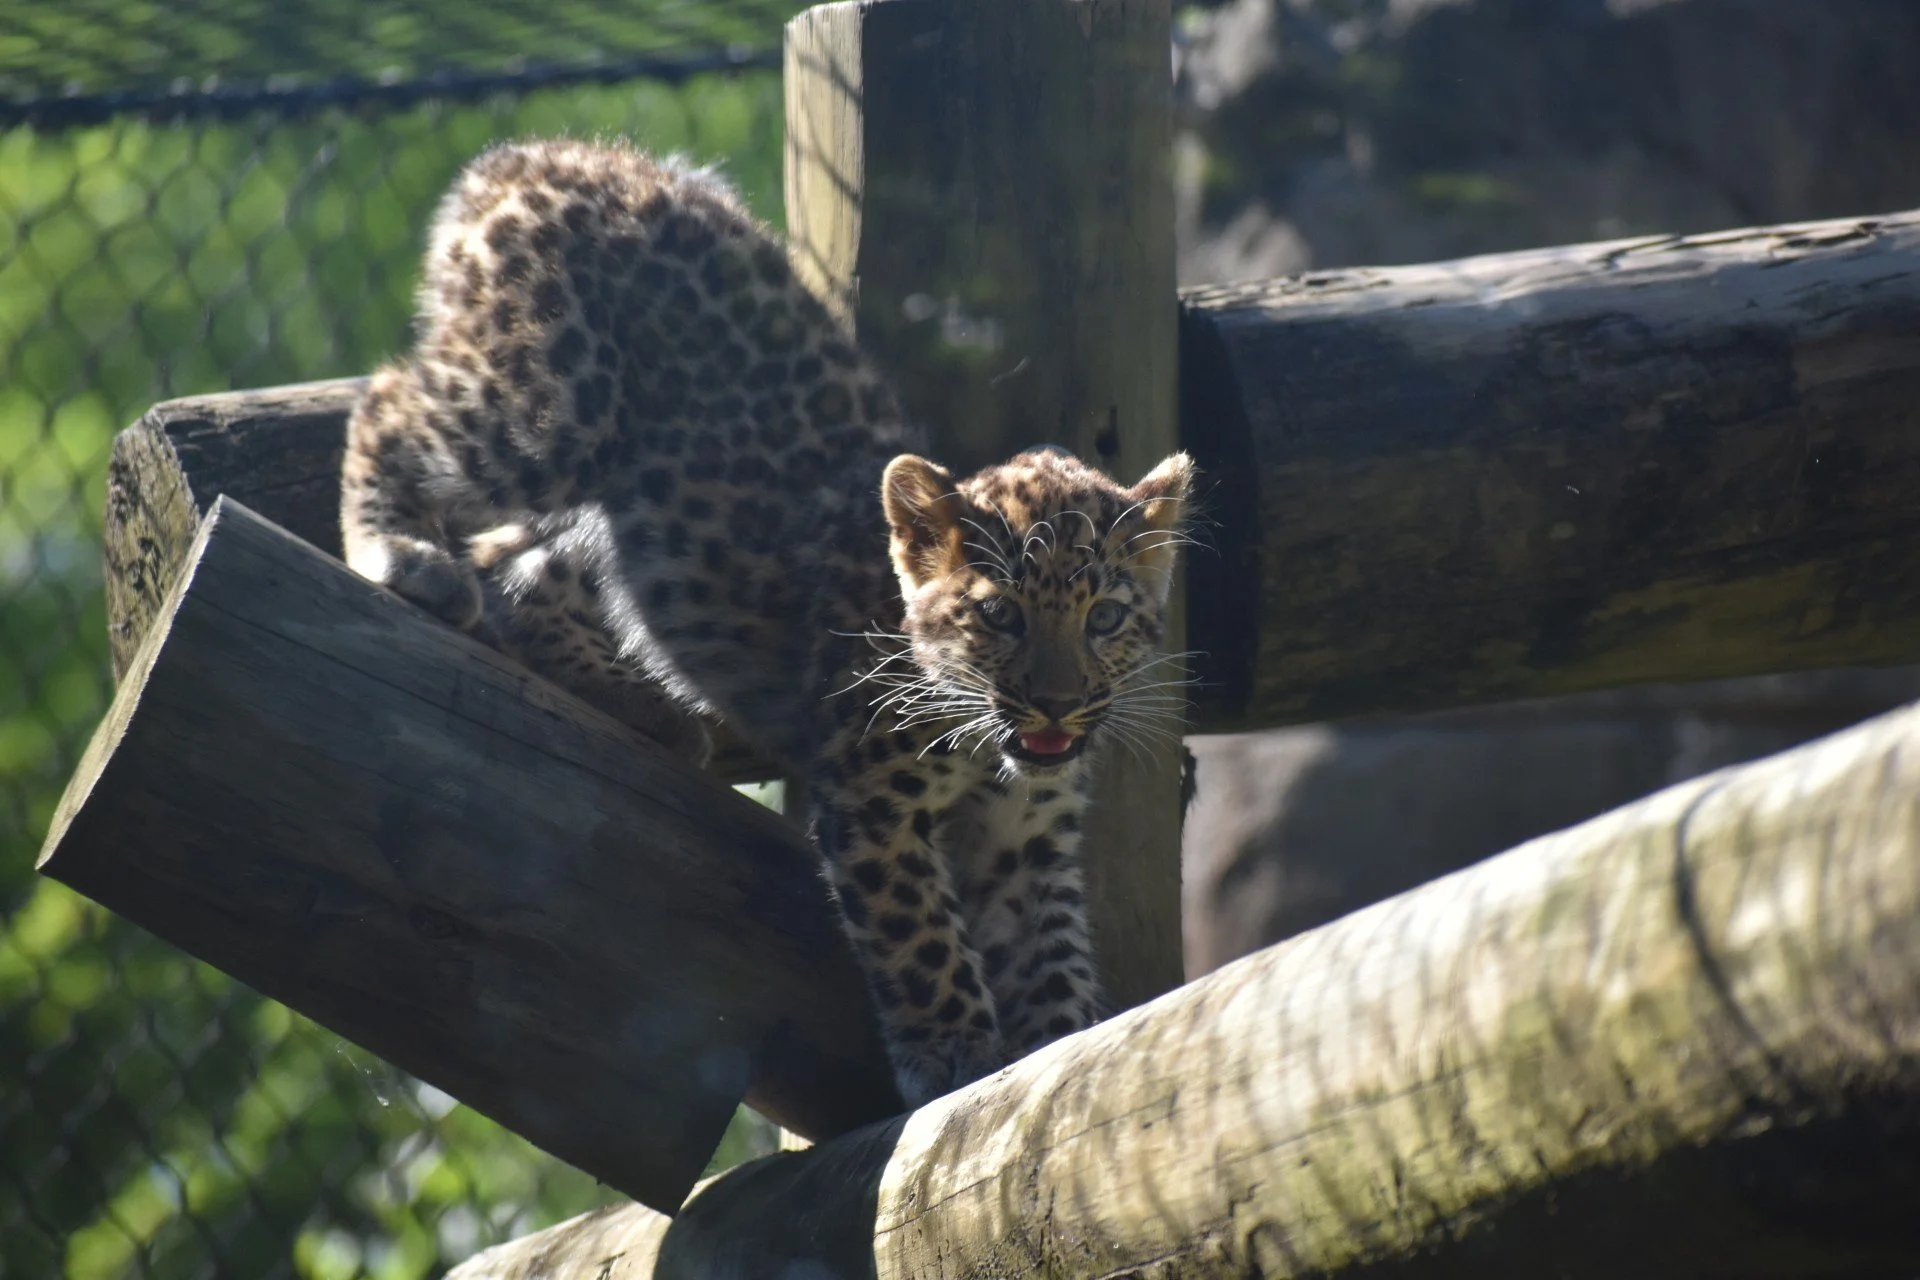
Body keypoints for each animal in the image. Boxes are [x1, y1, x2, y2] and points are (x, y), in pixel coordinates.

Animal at [341, 138, 1194, 1108]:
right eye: (999, 615)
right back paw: (401, 554)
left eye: (1106, 617)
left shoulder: (1027, 840)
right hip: (544, 412)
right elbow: (921, 933)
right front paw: (955, 1050)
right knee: (390, 402)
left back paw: (645, 703)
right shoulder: (872, 798)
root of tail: (536, 153)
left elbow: (1050, 961)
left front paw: (1062, 1051)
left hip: (627, 502)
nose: (1055, 706)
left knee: (514, 564)